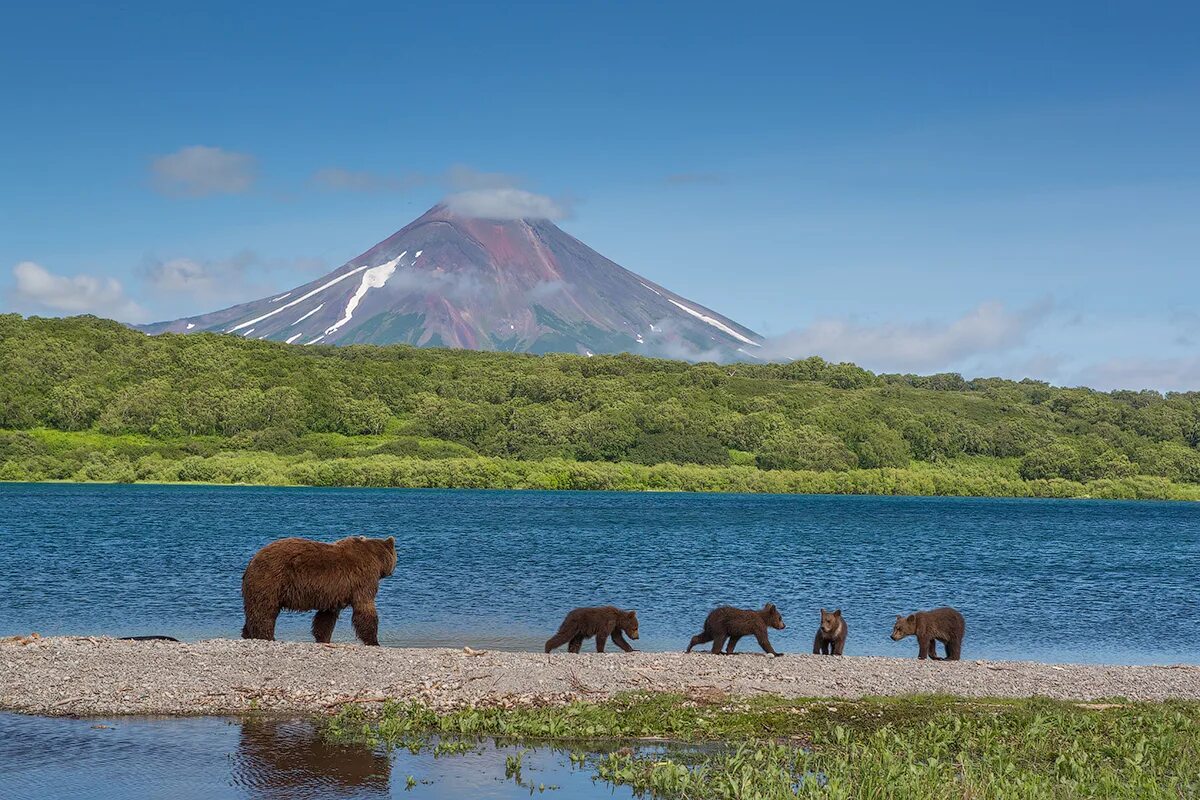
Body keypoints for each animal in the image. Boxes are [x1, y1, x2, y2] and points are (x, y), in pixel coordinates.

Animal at [240, 534, 398, 647]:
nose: (392, 572)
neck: (376, 559)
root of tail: (252, 561)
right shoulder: (363, 579)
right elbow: (365, 609)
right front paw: (374, 641)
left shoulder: (333, 593)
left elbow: (326, 617)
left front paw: (323, 638)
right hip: (271, 580)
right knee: (265, 611)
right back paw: (267, 636)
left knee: (255, 611)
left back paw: (247, 634)